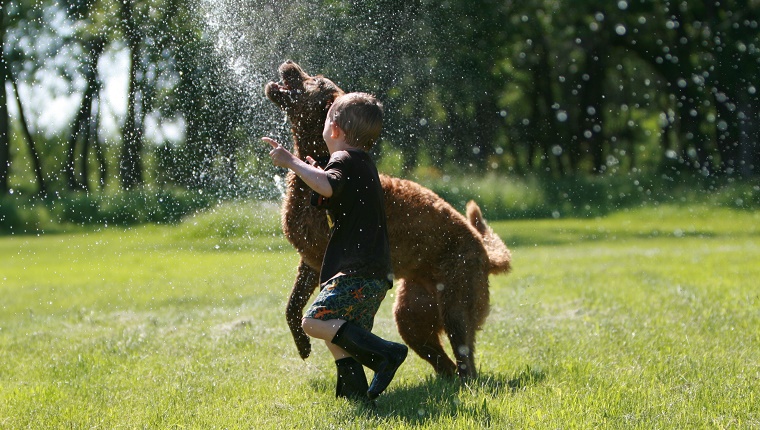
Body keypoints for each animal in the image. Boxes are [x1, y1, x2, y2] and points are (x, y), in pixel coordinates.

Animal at [262, 61, 510, 380]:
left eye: (314, 79)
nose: (289, 64)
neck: (320, 157)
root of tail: (483, 249)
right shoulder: (311, 260)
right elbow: (291, 306)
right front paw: (303, 345)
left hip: (457, 305)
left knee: (466, 358)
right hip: (411, 315)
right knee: (443, 362)